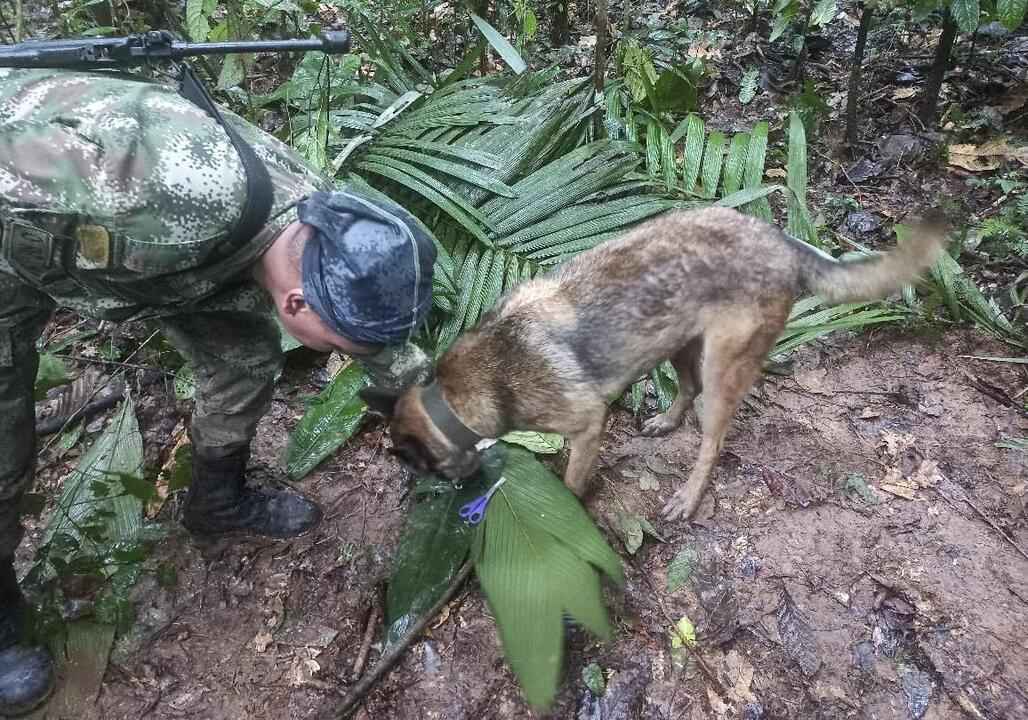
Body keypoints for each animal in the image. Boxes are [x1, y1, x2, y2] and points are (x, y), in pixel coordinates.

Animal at [365, 205, 941, 520]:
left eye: (418, 466)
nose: (455, 492)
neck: (454, 396)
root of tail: (782, 242)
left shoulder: (586, 424)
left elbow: (571, 481)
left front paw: (567, 508)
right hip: (679, 342)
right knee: (685, 389)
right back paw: (665, 421)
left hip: (722, 367)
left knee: (711, 440)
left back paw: (688, 494)